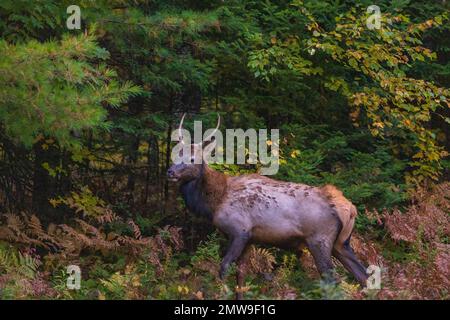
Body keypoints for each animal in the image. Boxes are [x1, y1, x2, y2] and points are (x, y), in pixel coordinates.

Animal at [167, 114, 368, 298]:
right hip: (341, 243)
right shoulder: (250, 239)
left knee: (332, 279)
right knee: (363, 276)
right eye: (177, 154)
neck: (215, 203)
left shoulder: (240, 231)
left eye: (193, 159)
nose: (170, 171)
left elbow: (224, 268)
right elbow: (241, 277)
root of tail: (348, 209)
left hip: (320, 239)